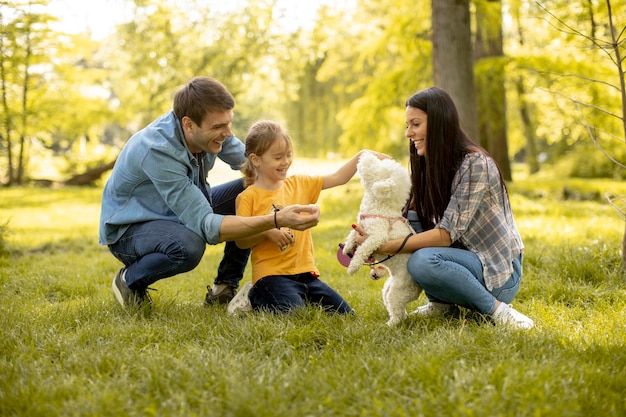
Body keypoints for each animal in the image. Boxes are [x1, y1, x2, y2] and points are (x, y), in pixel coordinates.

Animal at [342, 152, 424, 324]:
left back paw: (391, 324)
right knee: (397, 308)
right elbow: (352, 234)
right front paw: (346, 247)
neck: (381, 206)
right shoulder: (360, 225)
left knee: (397, 310)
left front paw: (352, 267)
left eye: (377, 169)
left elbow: (362, 250)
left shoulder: (376, 237)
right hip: (389, 287)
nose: (366, 154)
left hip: (398, 291)